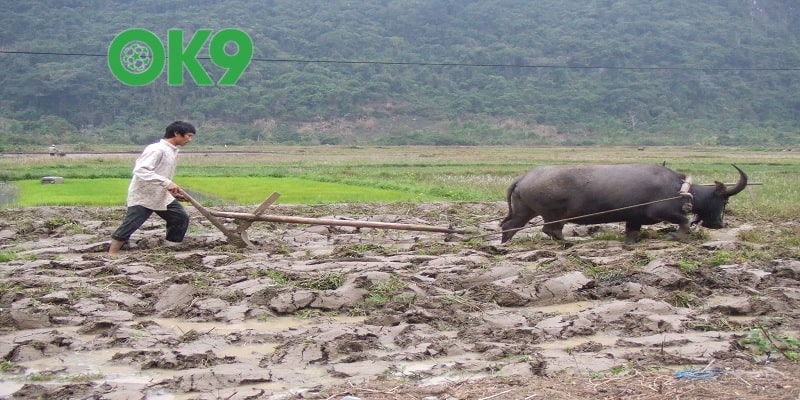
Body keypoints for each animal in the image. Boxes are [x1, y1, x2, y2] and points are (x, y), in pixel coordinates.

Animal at [500, 162, 752, 244]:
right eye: (724, 201)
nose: (720, 224)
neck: (679, 190)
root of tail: (524, 177)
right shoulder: (663, 211)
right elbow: (683, 221)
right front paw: (677, 236)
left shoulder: (634, 219)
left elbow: (632, 232)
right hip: (553, 214)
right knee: (550, 230)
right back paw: (568, 242)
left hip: (525, 211)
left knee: (509, 225)